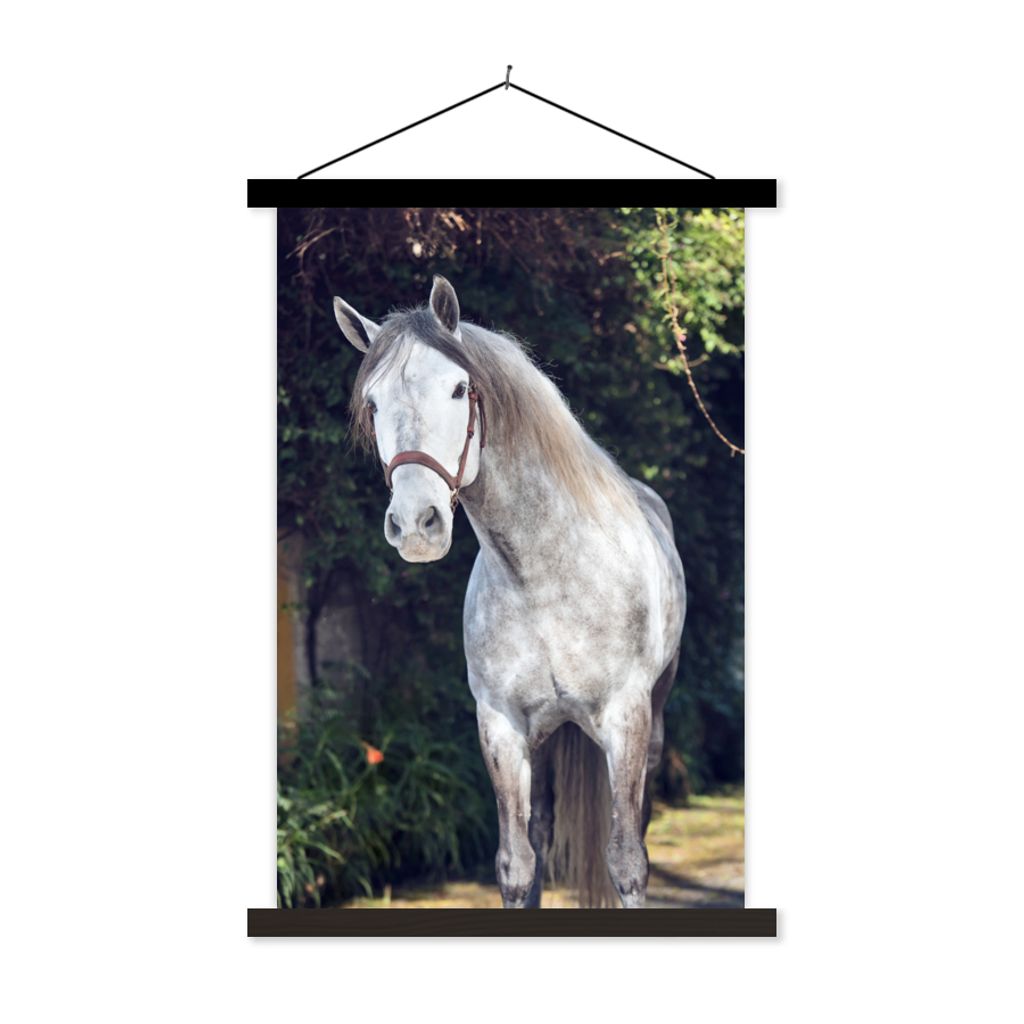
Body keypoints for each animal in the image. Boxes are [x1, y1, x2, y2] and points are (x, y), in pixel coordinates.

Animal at [335, 276, 686, 908]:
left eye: (458, 389)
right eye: (372, 404)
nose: (416, 524)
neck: (544, 577)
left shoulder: (628, 719)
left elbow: (627, 861)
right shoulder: (501, 727)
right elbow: (516, 864)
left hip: (654, 718)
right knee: (541, 834)